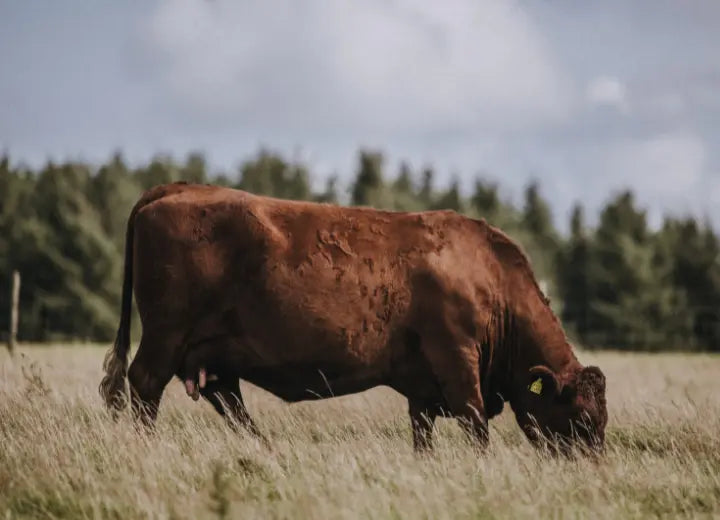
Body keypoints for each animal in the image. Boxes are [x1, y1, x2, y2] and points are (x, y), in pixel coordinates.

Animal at [100, 183, 608, 456]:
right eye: (583, 418)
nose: (593, 467)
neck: (489, 276)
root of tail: (177, 189)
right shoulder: (458, 361)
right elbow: (476, 423)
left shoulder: (423, 389)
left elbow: (424, 434)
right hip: (165, 339)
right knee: (144, 386)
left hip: (213, 357)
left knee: (229, 403)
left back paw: (267, 450)